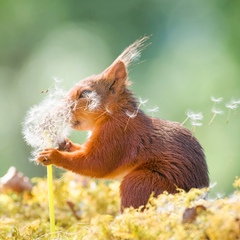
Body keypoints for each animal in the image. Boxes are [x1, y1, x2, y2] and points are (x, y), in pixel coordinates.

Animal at [37, 36, 208, 211]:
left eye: (85, 93)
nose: (59, 110)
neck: (113, 114)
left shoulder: (117, 135)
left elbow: (96, 163)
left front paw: (53, 155)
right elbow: (84, 152)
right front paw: (65, 144)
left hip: (140, 182)